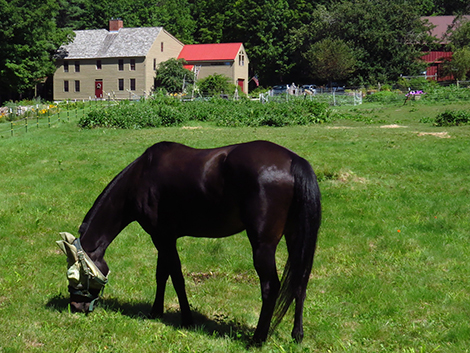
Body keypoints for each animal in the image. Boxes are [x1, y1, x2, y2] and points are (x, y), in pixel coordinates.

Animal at [58, 139, 322, 342]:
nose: (75, 307)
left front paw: (186, 319)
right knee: (300, 280)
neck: (141, 176)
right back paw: (297, 335)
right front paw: (156, 312)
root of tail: (293, 161)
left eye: (75, 275)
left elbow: (176, 277)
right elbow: (162, 274)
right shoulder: (163, 239)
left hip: (262, 246)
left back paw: (257, 338)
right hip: (295, 236)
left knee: (270, 287)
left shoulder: (163, 238)